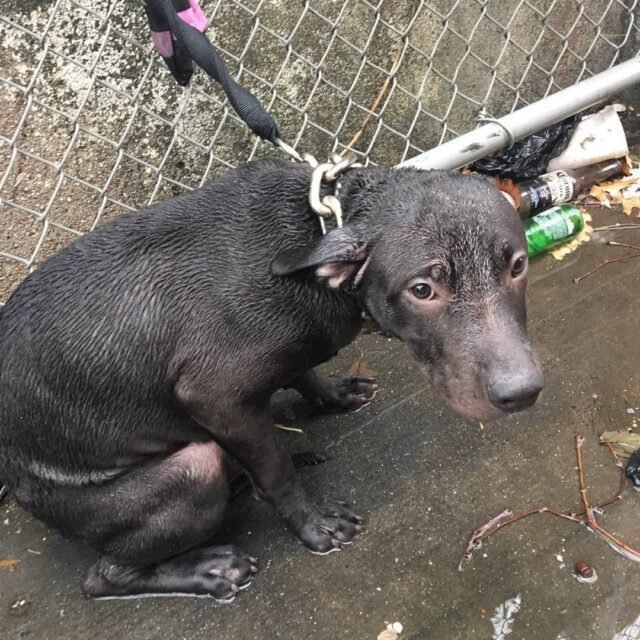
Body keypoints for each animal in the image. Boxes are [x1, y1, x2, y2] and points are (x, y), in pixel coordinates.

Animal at [0, 160, 544, 600]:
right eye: (423, 289)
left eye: (517, 265)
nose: (522, 392)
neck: (322, 229)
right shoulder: (215, 395)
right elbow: (277, 469)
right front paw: (314, 525)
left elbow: (303, 374)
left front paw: (333, 395)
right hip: (189, 470)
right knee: (102, 578)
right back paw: (208, 570)